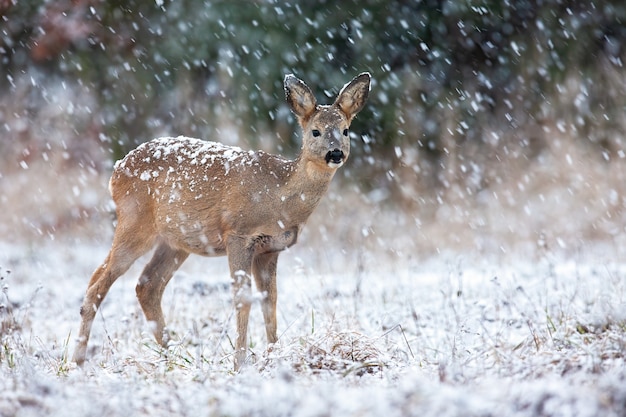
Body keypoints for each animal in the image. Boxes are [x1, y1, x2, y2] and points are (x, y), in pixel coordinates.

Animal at [71, 73, 368, 368]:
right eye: (315, 131)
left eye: (345, 130)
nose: (335, 153)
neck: (279, 196)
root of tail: (116, 171)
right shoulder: (238, 234)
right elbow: (243, 299)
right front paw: (240, 363)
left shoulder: (270, 249)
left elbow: (270, 301)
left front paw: (274, 356)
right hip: (135, 223)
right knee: (99, 284)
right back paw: (79, 360)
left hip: (175, 241)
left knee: (145, 285)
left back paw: (174, 356)